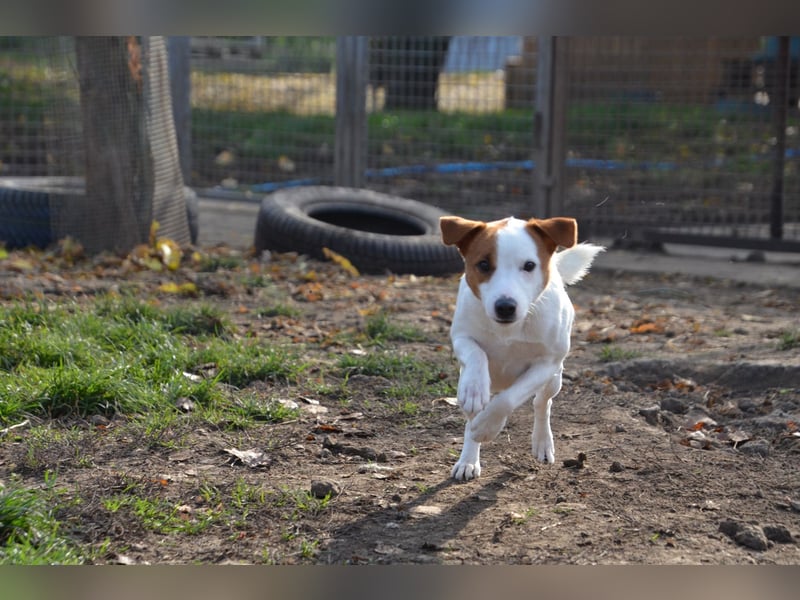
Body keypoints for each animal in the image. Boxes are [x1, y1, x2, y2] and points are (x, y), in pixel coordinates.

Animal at [440, 213, 604, 480]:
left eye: (529, 265)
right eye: (483, 264)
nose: (505, 306)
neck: (509, 329)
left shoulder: (547, 364)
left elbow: (506, 400)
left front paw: (488, 426)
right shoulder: (461, 337)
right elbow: (476, 354)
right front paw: (476, 389)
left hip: (555, 379)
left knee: (542, 404)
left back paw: (542, 442)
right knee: (472, 413)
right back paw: (468, 459)